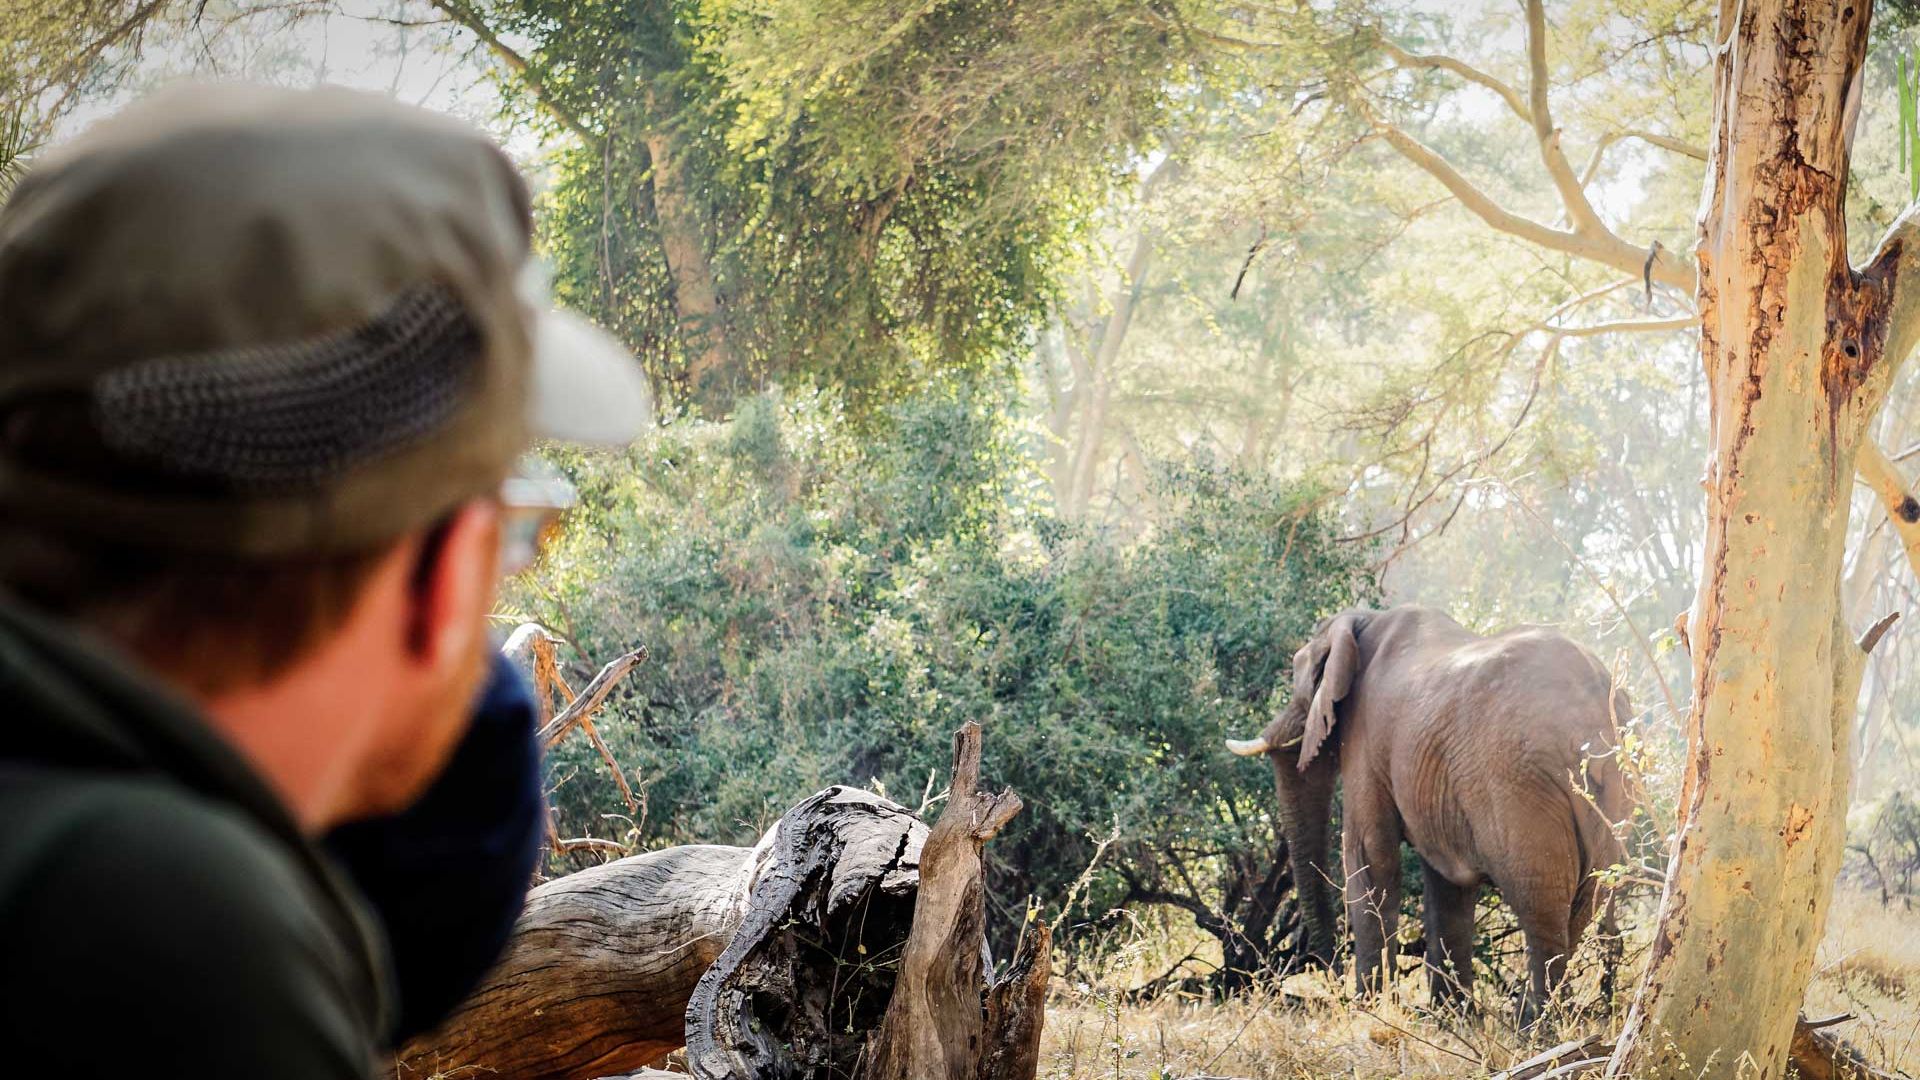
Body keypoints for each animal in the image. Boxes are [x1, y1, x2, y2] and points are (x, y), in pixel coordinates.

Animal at [1228, 607, 1635, 1014]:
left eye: (1303, 675)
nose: (1330, 973)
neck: (1361, 622)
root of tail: (1594, 718)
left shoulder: (1367, 737)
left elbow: (1369, 856)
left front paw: (1371, 1009)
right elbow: (1447, 883)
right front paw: (1452, 1018)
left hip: (1521, 789)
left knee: (1541, 909)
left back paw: (1535, 1023)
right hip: (1614, 794)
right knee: (1585, 903)